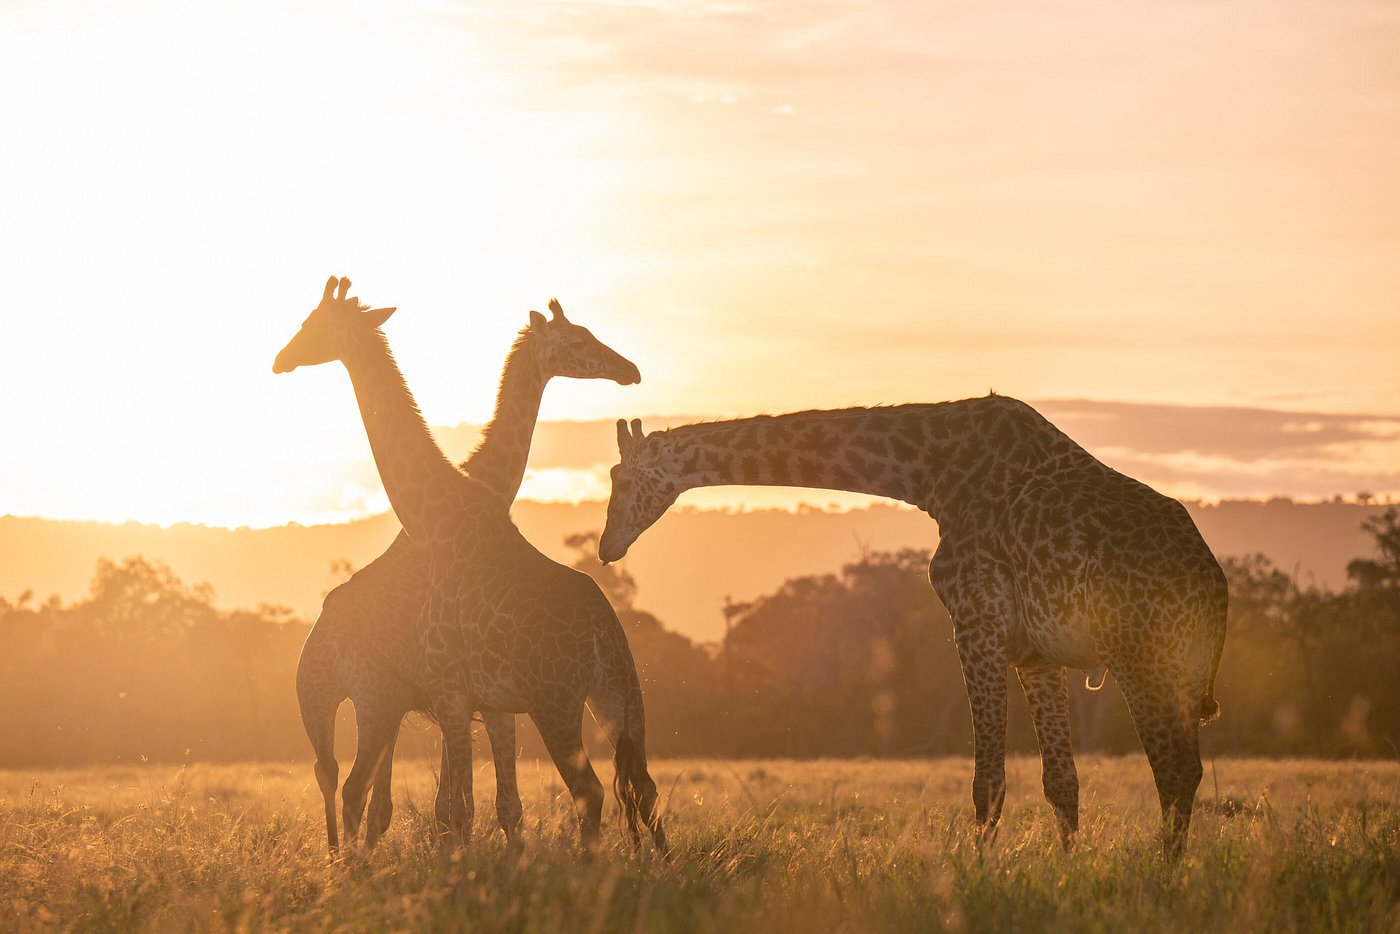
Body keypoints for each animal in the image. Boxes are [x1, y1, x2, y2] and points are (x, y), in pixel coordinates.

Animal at [275, 276, 667, 853]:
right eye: (579, 339)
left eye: (311, 323)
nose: (281, 358)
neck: (444, 518)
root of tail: (605, 633)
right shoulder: (474, 701)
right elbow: (474, 808)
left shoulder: (457, 694)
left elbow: (463, 811)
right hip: (616, 699)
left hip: (543, 703)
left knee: (592, 791)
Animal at [598, 400, 1227, 858]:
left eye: (622, 478)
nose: (606, 547)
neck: (931, 474)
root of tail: (1214, 586)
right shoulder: (1034, 651)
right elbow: (1061, 782)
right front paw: (1068, 870)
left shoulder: (975, 623)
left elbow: (988, 781)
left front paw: (977, 877)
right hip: (1174, 669)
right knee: (1183, 770)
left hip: (1142, 659)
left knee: (1175, 769)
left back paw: (1163, 878)